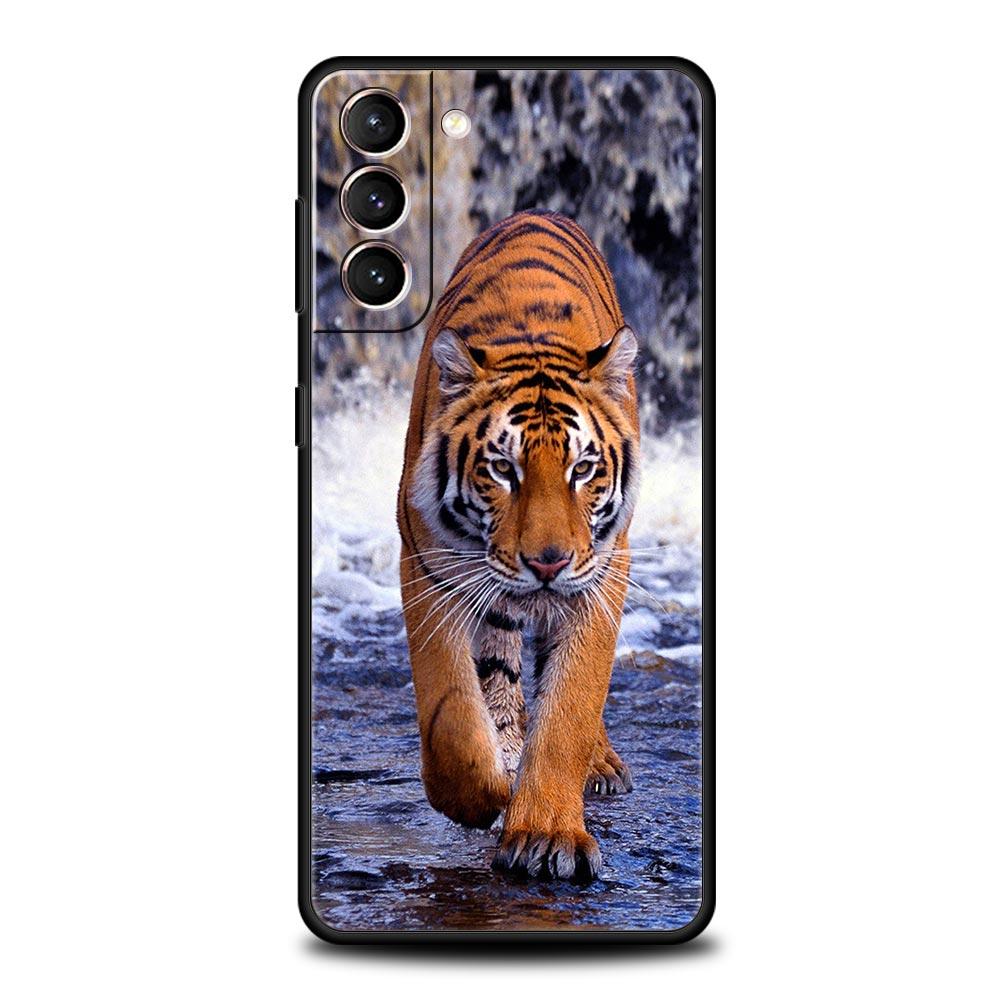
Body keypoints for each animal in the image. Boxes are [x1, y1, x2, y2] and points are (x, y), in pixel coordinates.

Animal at [397, 209, 640, 883]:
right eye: (503, 469)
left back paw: (599, 765)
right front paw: (481, 797)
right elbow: (452, 710)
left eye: (583, 469)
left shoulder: (601, 575)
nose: (547, 563)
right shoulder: (429, 567)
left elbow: (570, 706)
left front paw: (546, 834)